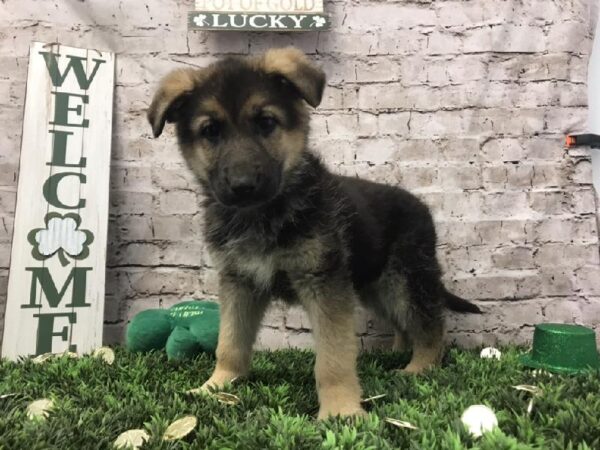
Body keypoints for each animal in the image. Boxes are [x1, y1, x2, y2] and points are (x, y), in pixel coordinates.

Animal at [148, 48, 480, 418]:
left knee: (429, 323)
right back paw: (396, 352)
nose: (243, 186)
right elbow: (230, 342)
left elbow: (333, 358)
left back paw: (420, 367)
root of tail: (422, 207)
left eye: (266, 123)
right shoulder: (240, 282)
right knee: (401, 323)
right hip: (373, 286)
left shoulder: (324, 284)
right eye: (210, 131)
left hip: (405, 282)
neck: (262, 214)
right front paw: (216, 386)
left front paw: (340, 410)